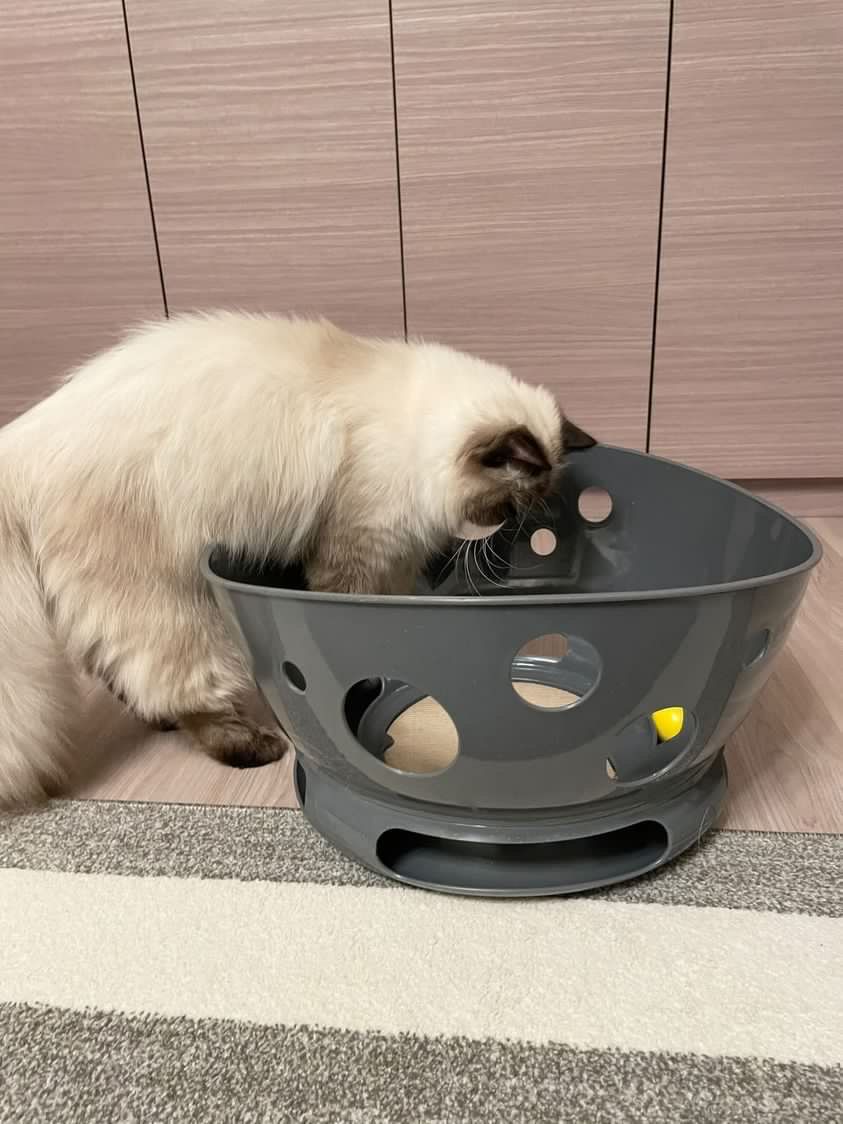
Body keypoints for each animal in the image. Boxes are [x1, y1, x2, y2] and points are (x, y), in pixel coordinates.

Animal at [0, 312, 594, 806]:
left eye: (523, 508)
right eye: (506, 505)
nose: (505, 531)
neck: (411, 435)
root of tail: (23, 444)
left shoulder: (395, 561)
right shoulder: (357, 551)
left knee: (119, 671)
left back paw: (162, 723)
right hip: (170, 603)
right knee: (179, 685)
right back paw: (249, 746)